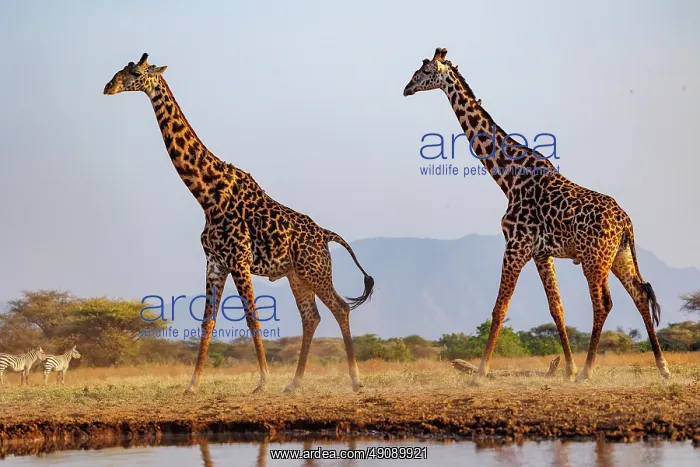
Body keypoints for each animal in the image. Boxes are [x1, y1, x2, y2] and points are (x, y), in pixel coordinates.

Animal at [103, 53, 374, 393]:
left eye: (136, 73)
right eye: (122, 69)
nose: (108, 87)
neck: (206, 193)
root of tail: (327, 234)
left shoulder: (239, 259)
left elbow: (252, 317)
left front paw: (262, 381)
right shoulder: (215, 261)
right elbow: (208, 320)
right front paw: (193, 384)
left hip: (315, 270)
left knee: (340, 307)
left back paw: (355, 380)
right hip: (296, 275)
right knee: (311, 317)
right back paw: (294, 383)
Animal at [403, 48, 670, 384]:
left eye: (425, 72)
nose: (406, 88)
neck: (509, 177)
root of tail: (626, 222)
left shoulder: (516, 245)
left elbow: (499, 309)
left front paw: (480, 373)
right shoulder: (542, 253)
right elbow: (557, 308)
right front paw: (567, 369)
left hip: (594, 258)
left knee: (603, 302)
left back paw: (588, 370)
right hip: (618, 256)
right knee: (640, 294)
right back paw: (662, 367)